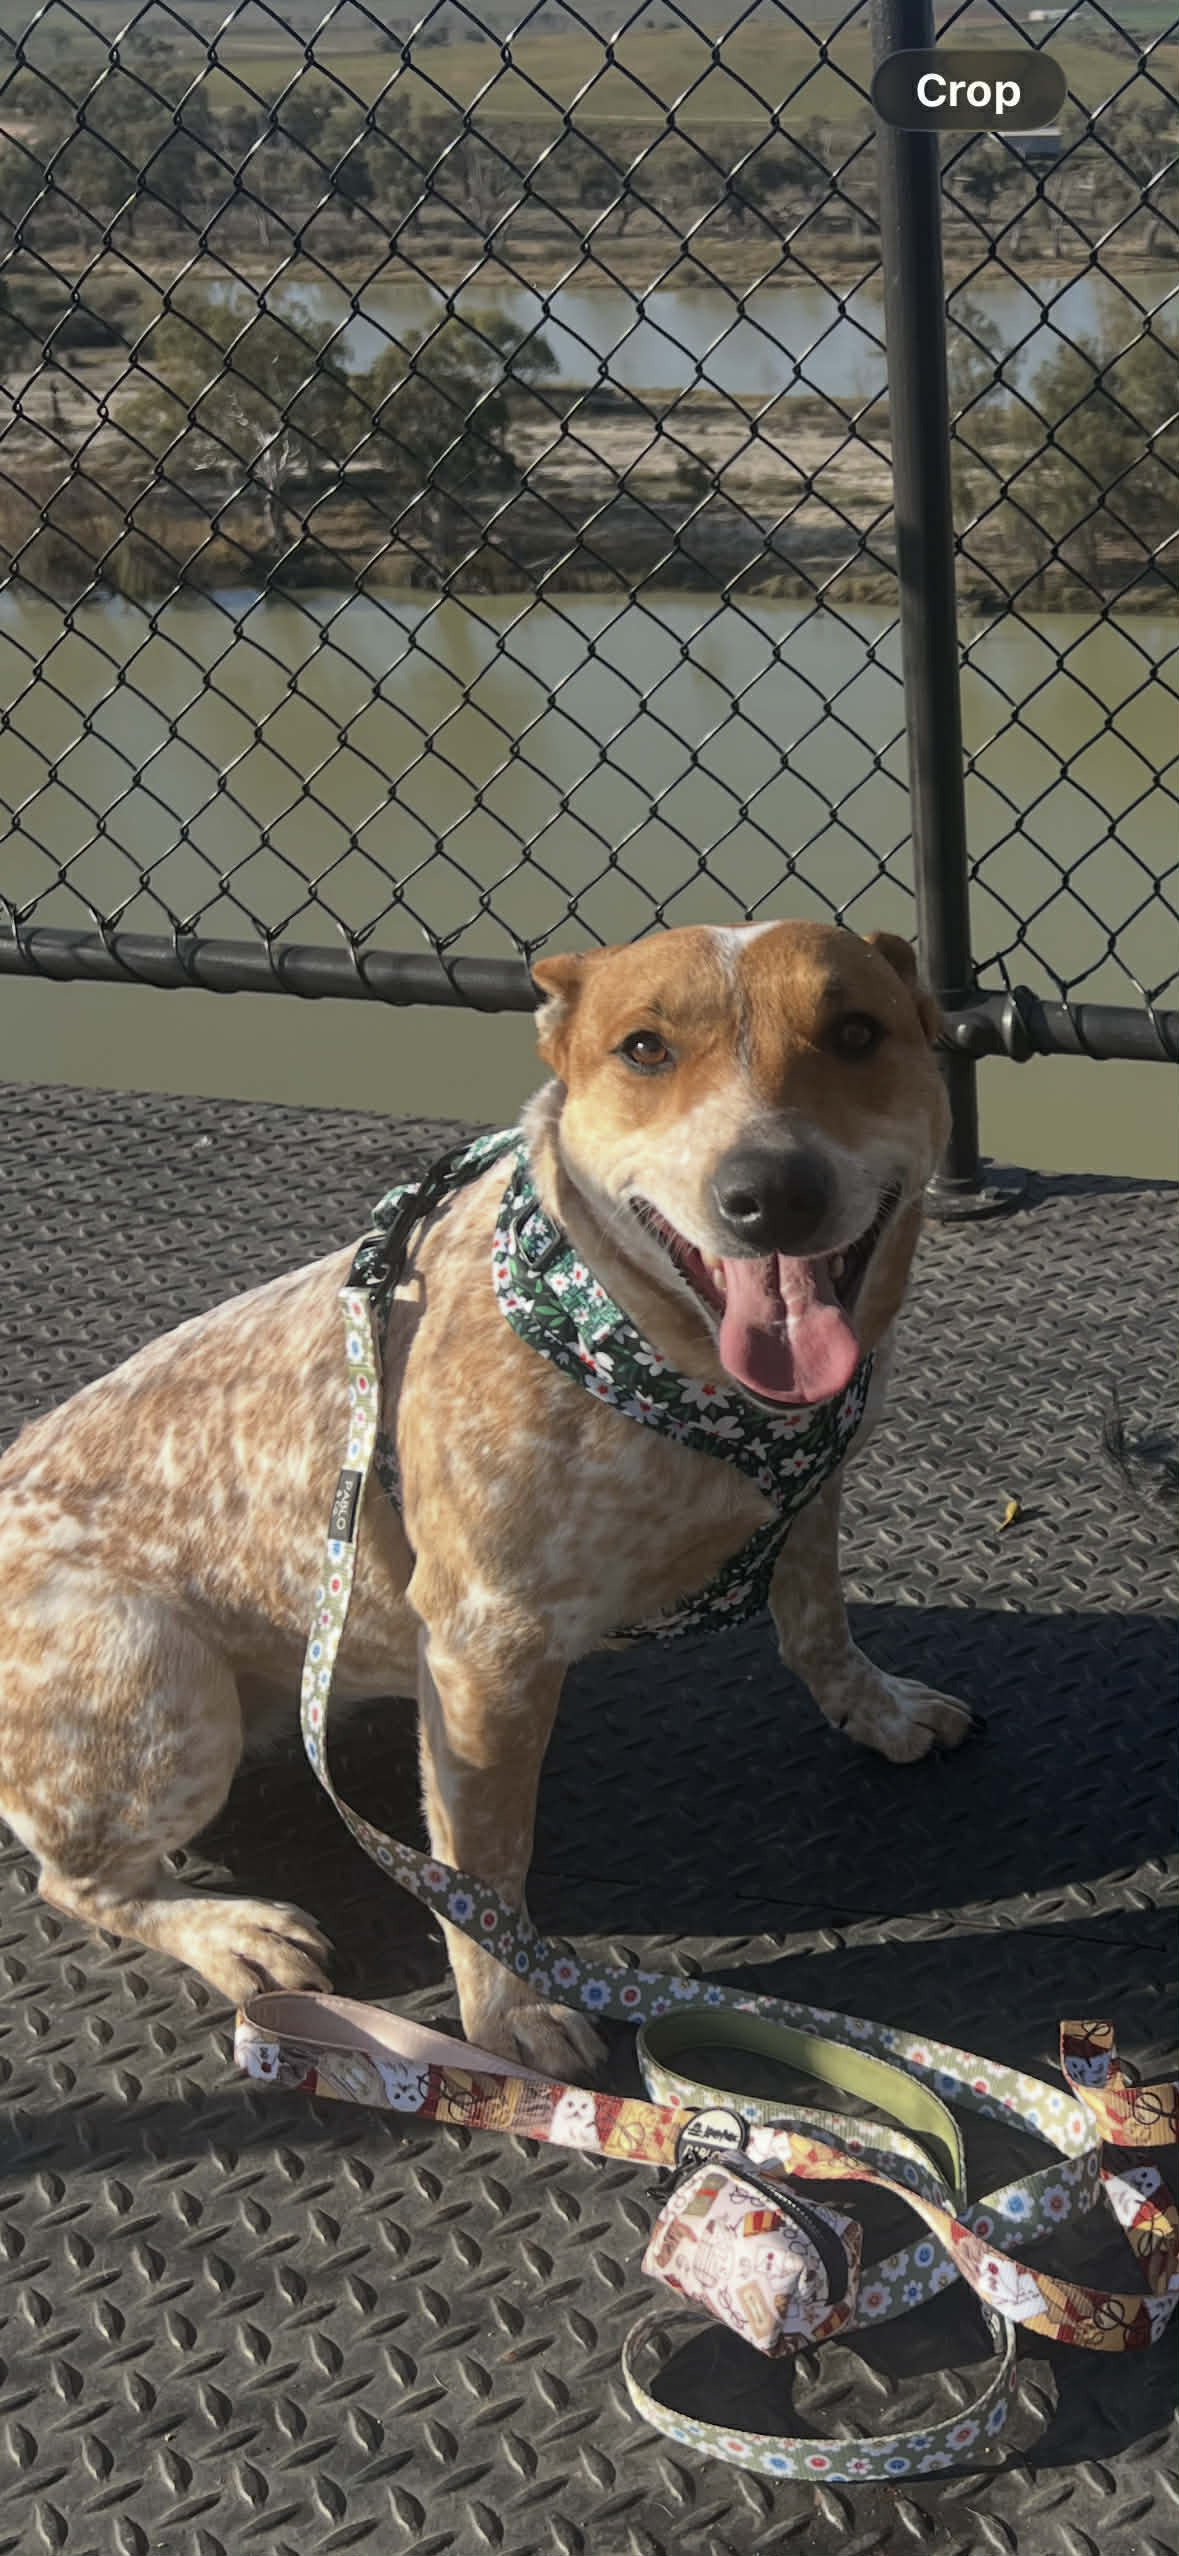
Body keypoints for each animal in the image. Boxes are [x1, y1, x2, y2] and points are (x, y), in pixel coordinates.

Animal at [0, 919, 969, 2077]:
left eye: (857, 1032)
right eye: (644, 1049)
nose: (770, 1190)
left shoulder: (818, 1498)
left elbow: (820, 1623)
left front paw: (879, 1708)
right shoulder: (488, 1651)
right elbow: (485, 1867)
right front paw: (509, 2011)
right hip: (158, 1679)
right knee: (76, 1879)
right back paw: (232, 1930)